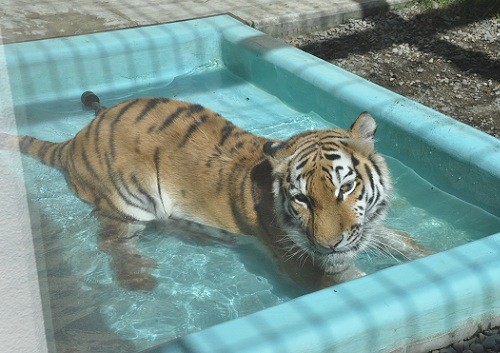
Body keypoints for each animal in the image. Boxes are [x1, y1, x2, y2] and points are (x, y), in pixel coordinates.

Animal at [0, 92, 430, 290]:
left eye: (346, 186)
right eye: (302, 199)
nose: (329, 245)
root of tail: (77, 138)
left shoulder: (367, 229)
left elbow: (405, 243)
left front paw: (429, 257)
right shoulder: (304, 264)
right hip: (128, 202)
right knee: (110, 241)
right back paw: (138, 277)